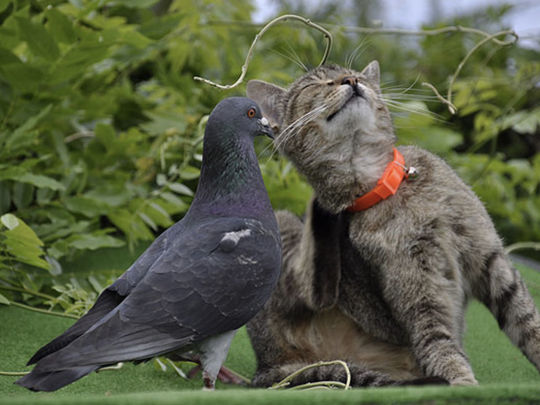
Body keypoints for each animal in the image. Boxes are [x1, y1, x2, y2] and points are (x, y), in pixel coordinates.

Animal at [244, 61, 540, 386]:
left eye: (356, 74)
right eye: (315, 84)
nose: (350, 80)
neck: (388, 187)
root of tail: (267, 364)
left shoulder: (489, 258)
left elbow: (527, 322)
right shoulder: (419, 293)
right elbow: (441, 346)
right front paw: (463, 384)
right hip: (279, 222)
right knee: (317, 290)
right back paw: (321, 215)